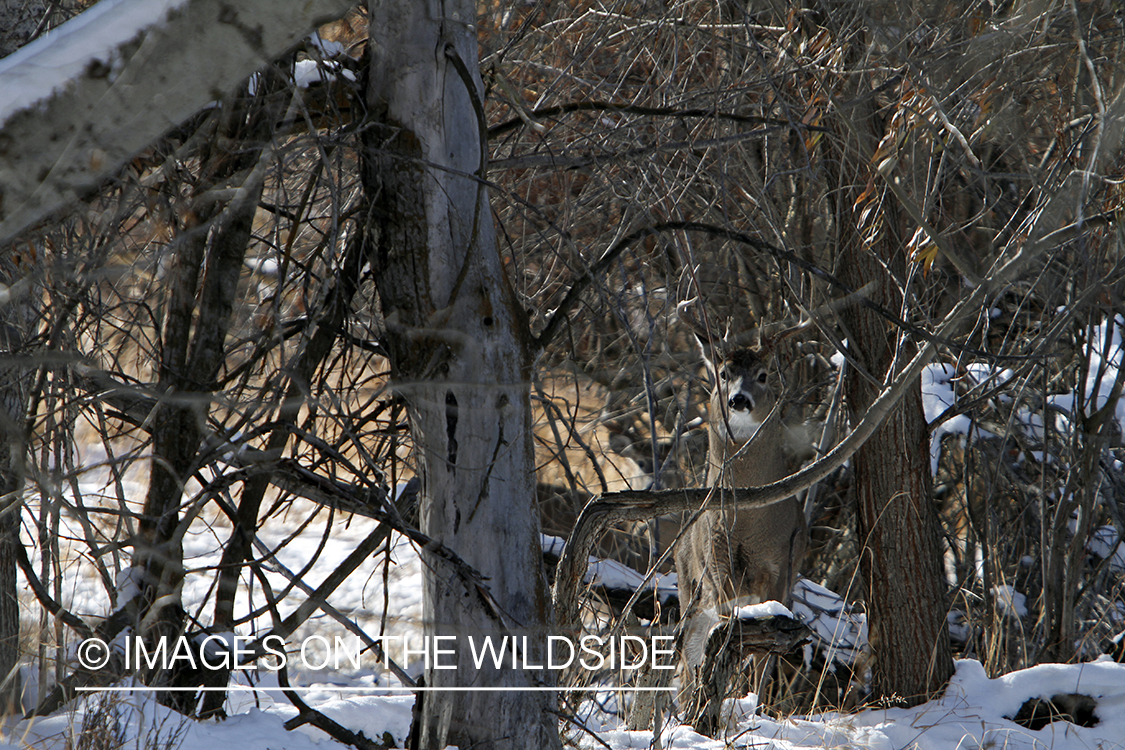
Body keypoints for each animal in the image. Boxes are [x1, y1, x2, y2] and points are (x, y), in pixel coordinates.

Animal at [670, 301, 805, 733]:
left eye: (763, 375)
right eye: (724, 374)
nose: (739, 400)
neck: (749, 523)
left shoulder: (782, 566)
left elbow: (765, 654)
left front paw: (757, 709)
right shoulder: (718, 564)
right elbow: (732, 639)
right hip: (689, 588)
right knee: (686, 658)